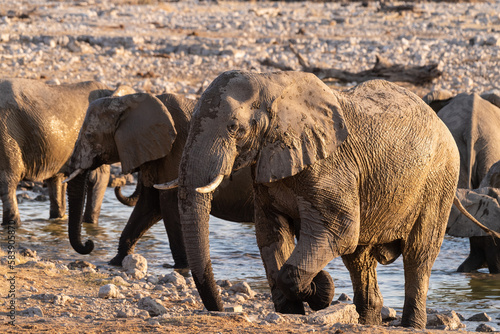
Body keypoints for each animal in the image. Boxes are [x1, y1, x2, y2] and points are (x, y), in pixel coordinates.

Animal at [0, 77, 131, 224]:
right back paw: (13, 224)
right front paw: (90, 224)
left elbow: (57, 181)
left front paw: (60, 220)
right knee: (9, 181)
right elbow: (98, 178)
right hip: (6, 132)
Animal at [64, 92, 254, 268]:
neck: (129, 101)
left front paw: (182, 268)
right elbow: (150, 204)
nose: (89, 243)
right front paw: (115, 262)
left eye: (89, 135)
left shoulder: (178, 149)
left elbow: (169, 204)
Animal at [155, 70, 468, 328]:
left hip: (440, 180)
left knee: (418, 254)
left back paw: (411, 325)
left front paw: (319, 288)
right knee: (359, 259)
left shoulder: (331, 167)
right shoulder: (268, 166)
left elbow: (337, 232)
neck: (271, 83)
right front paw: (293, 311)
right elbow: (271, 233)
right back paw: (367, 321)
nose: (219, 310)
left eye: (234, 128)